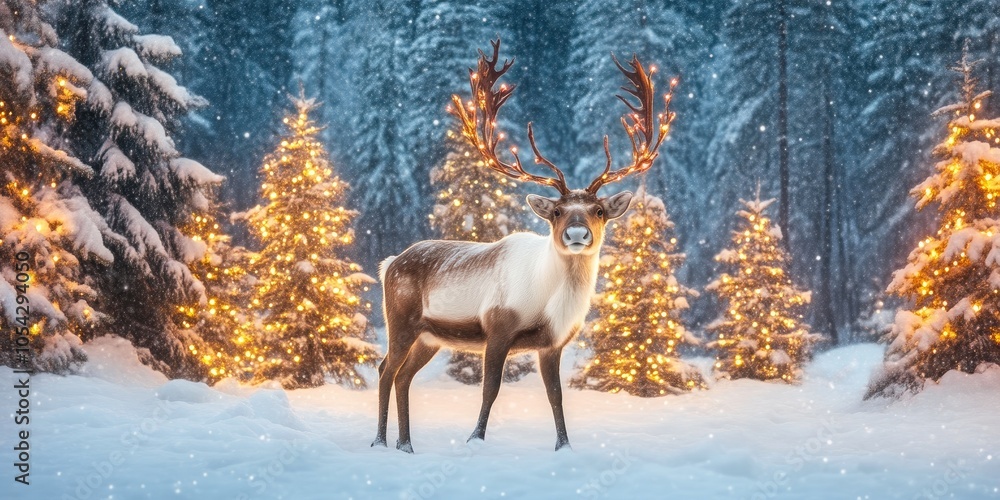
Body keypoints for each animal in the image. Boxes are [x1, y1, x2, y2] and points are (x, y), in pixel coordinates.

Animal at [372, 38, 676, 453]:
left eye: (598, 211)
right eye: (557, 211)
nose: (577, 235)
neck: (549, 302)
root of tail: (389, 262)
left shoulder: (552, 344)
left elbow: (556, 396)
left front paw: (564, 446)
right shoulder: (498, 328)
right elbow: (490, 390)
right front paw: (475, 439)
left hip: (430, 336)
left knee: (404, 376)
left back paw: (406, 445)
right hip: (401, 319)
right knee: (385, 369)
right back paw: (380, 443)